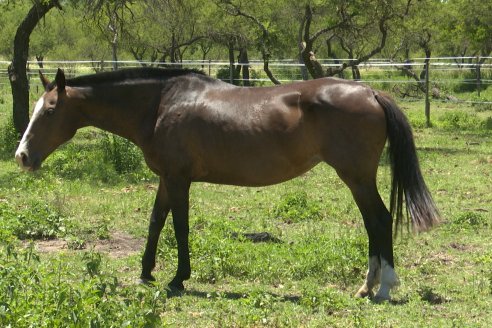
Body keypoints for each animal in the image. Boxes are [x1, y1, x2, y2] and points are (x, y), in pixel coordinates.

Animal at [15, 68, 440, 302]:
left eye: (49, 111)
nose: (21, 156)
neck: (160, 104)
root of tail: (370, 91)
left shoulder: (178, 179)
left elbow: (179, 227)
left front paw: (178, 278)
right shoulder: (166, 178)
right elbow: (155, 223)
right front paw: (146, 273)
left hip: (356, 177)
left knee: (379, 221)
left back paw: (382, 288)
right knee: (374, 224)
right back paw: (367, 287)